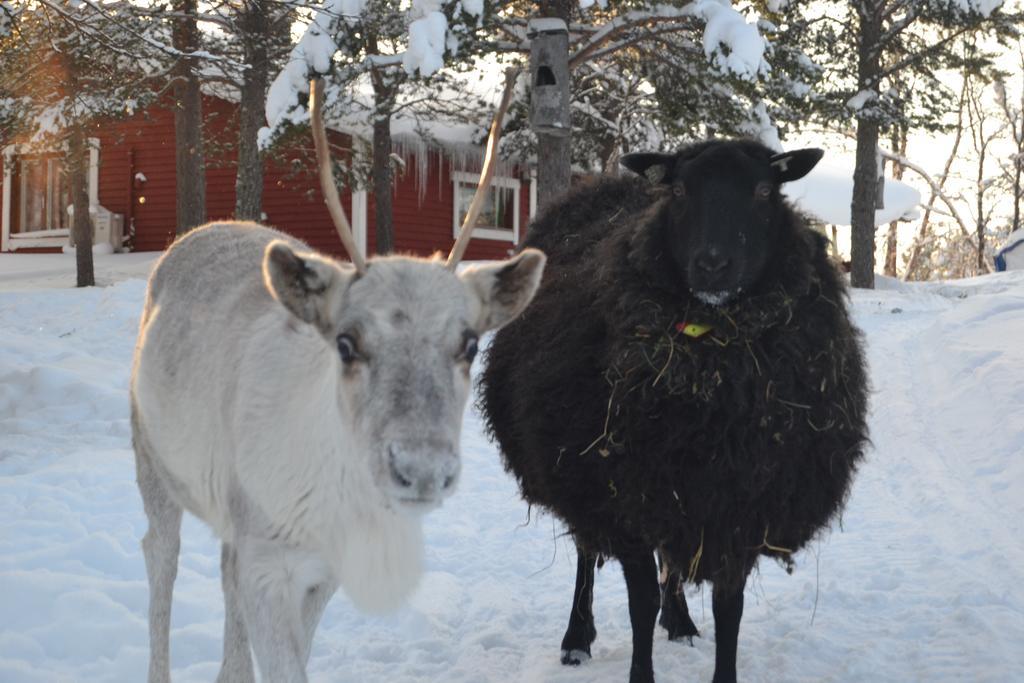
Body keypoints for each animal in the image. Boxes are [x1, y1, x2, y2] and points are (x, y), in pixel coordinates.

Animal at [479, 140, 872, 683]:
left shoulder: (737, 506)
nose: (713, 265)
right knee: (585, 551)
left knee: (669, 560)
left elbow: (729, 609)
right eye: (682, 190)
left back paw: (681, 620)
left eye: (764, 190)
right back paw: (577, 637)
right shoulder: (623, 497)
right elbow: (640, 604)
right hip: (582, 472)